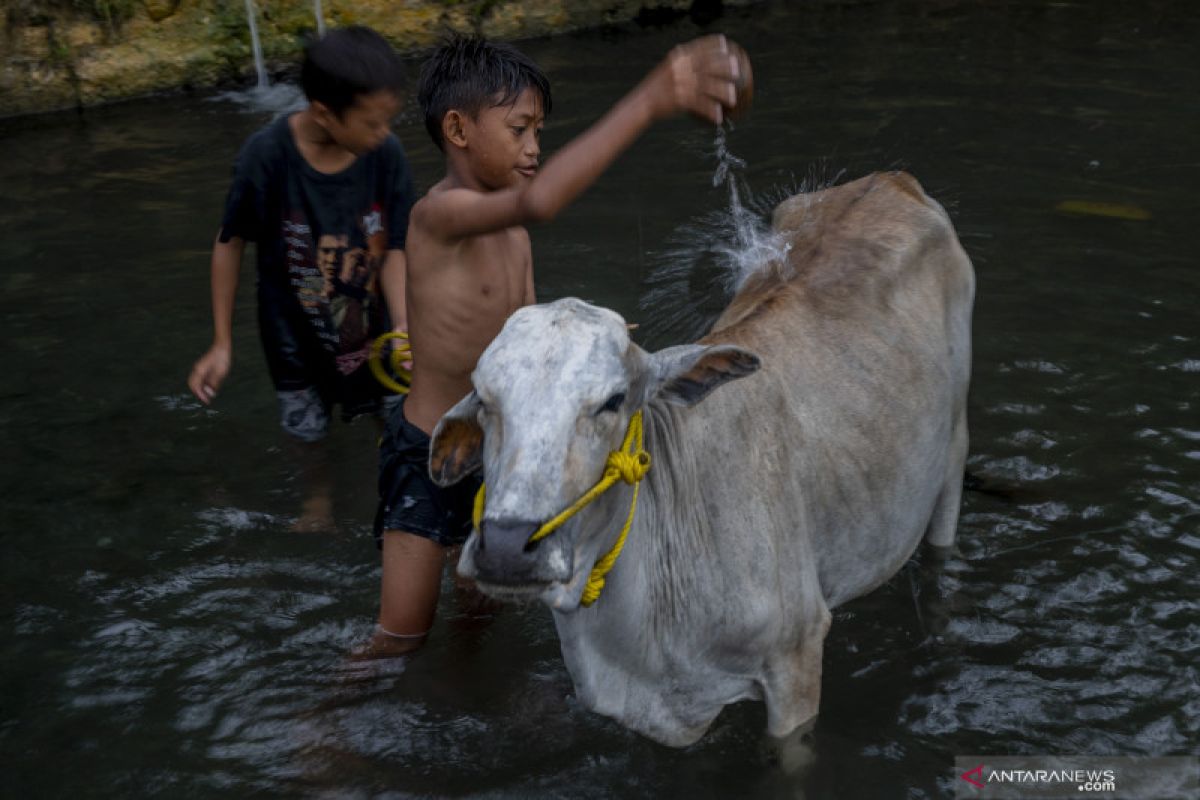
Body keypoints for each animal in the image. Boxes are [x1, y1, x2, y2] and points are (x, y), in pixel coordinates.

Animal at [427, 172, 969, 748]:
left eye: (614, 401)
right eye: (484, 399)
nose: (507, 548)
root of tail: (888, 180)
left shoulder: (796, 656)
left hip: (953, 455)